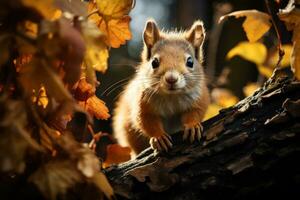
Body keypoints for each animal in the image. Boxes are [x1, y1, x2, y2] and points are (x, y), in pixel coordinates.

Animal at [112, 18, 209, 157]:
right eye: (154, 62)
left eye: (190, 62)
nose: (171, 79)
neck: (171, 97)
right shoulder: (143, 105)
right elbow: (146, 121)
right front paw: (159, 137)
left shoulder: (199, 97)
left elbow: (196, 111)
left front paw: (193, 126)